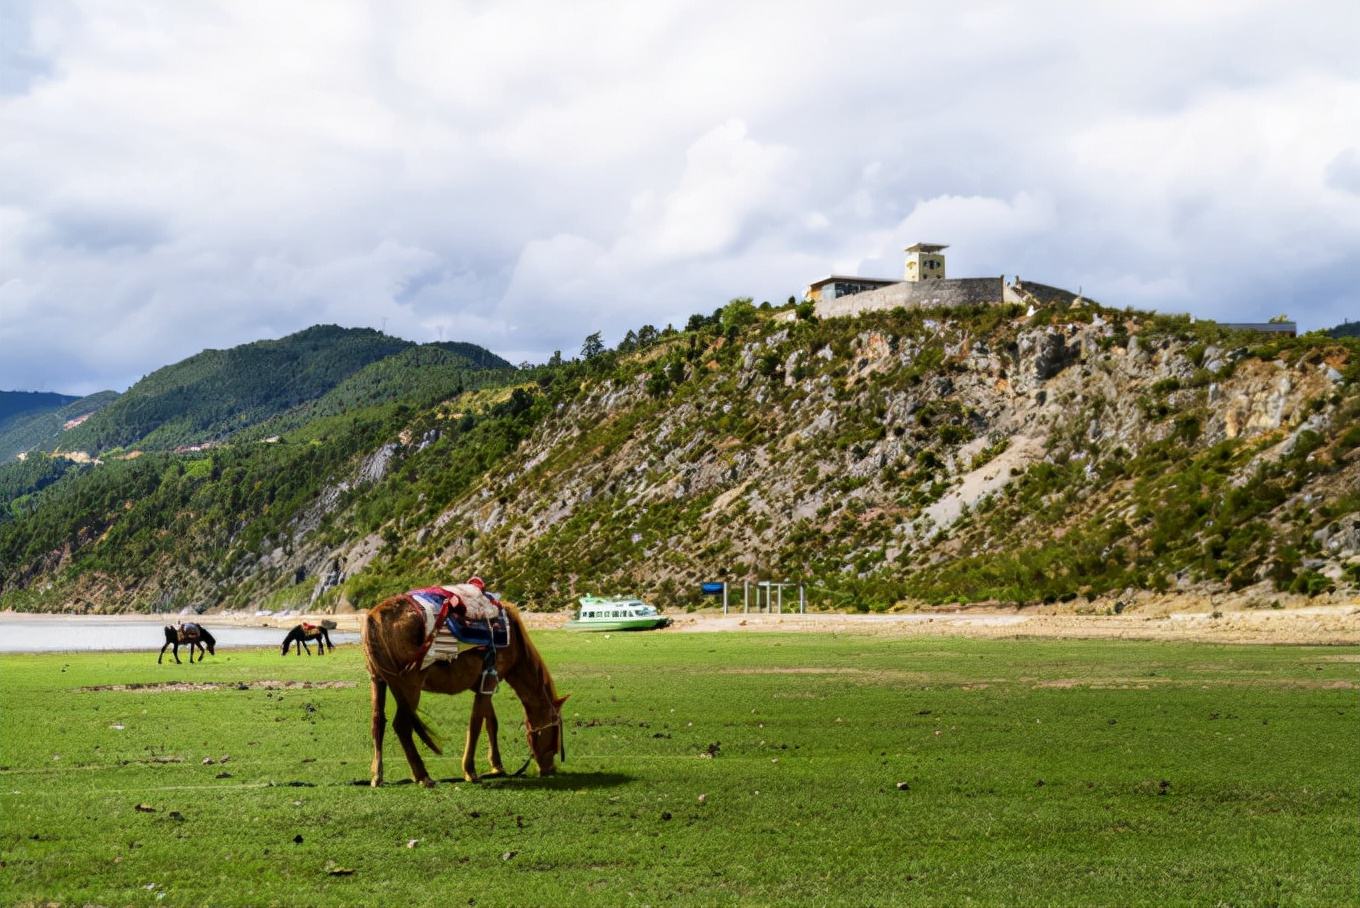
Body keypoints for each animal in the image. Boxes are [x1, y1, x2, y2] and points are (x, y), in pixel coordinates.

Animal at [359, 595, 565, 788]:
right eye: (555, 730)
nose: (550, 769)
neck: (514, 640)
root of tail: (373, 616)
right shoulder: (490, 681)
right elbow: (476, 724)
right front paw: (470, 771)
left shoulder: (485, 683)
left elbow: (490, 722)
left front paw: (497, 766)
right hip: (410, 686)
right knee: (401, 726)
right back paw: (423, 776)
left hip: (377, 681)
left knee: (378, 722)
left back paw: (377, 776)